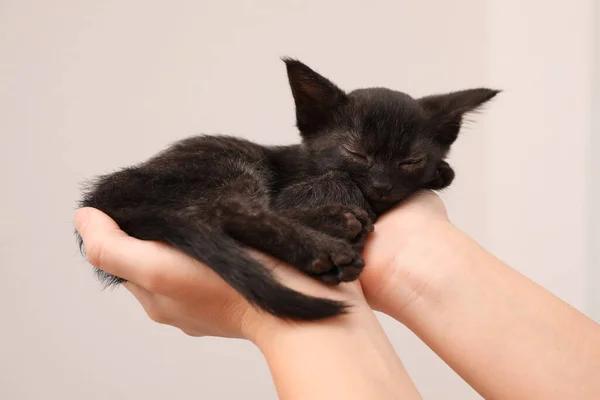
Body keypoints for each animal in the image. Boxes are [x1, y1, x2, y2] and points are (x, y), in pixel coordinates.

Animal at [77, 59, 500, 320]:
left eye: (410, 161)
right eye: (356, 152)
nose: (381, 185)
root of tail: (105, 197)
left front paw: (441, 172)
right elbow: (334, 179)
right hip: (229, 162)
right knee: (229, 213)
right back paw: (329, 240)